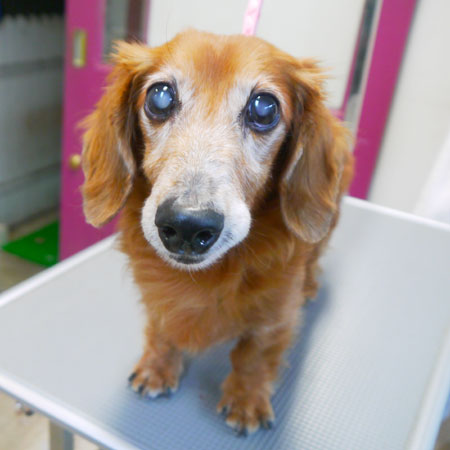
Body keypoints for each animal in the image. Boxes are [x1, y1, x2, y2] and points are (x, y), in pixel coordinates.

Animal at [81, 29, 353, 435]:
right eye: (160, 97)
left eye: (264, 108)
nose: (187, 225)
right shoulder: (158, 301)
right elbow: (162, 329)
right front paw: (158, 367)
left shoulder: (275, 314)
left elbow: (254, 353)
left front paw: (247, 400)